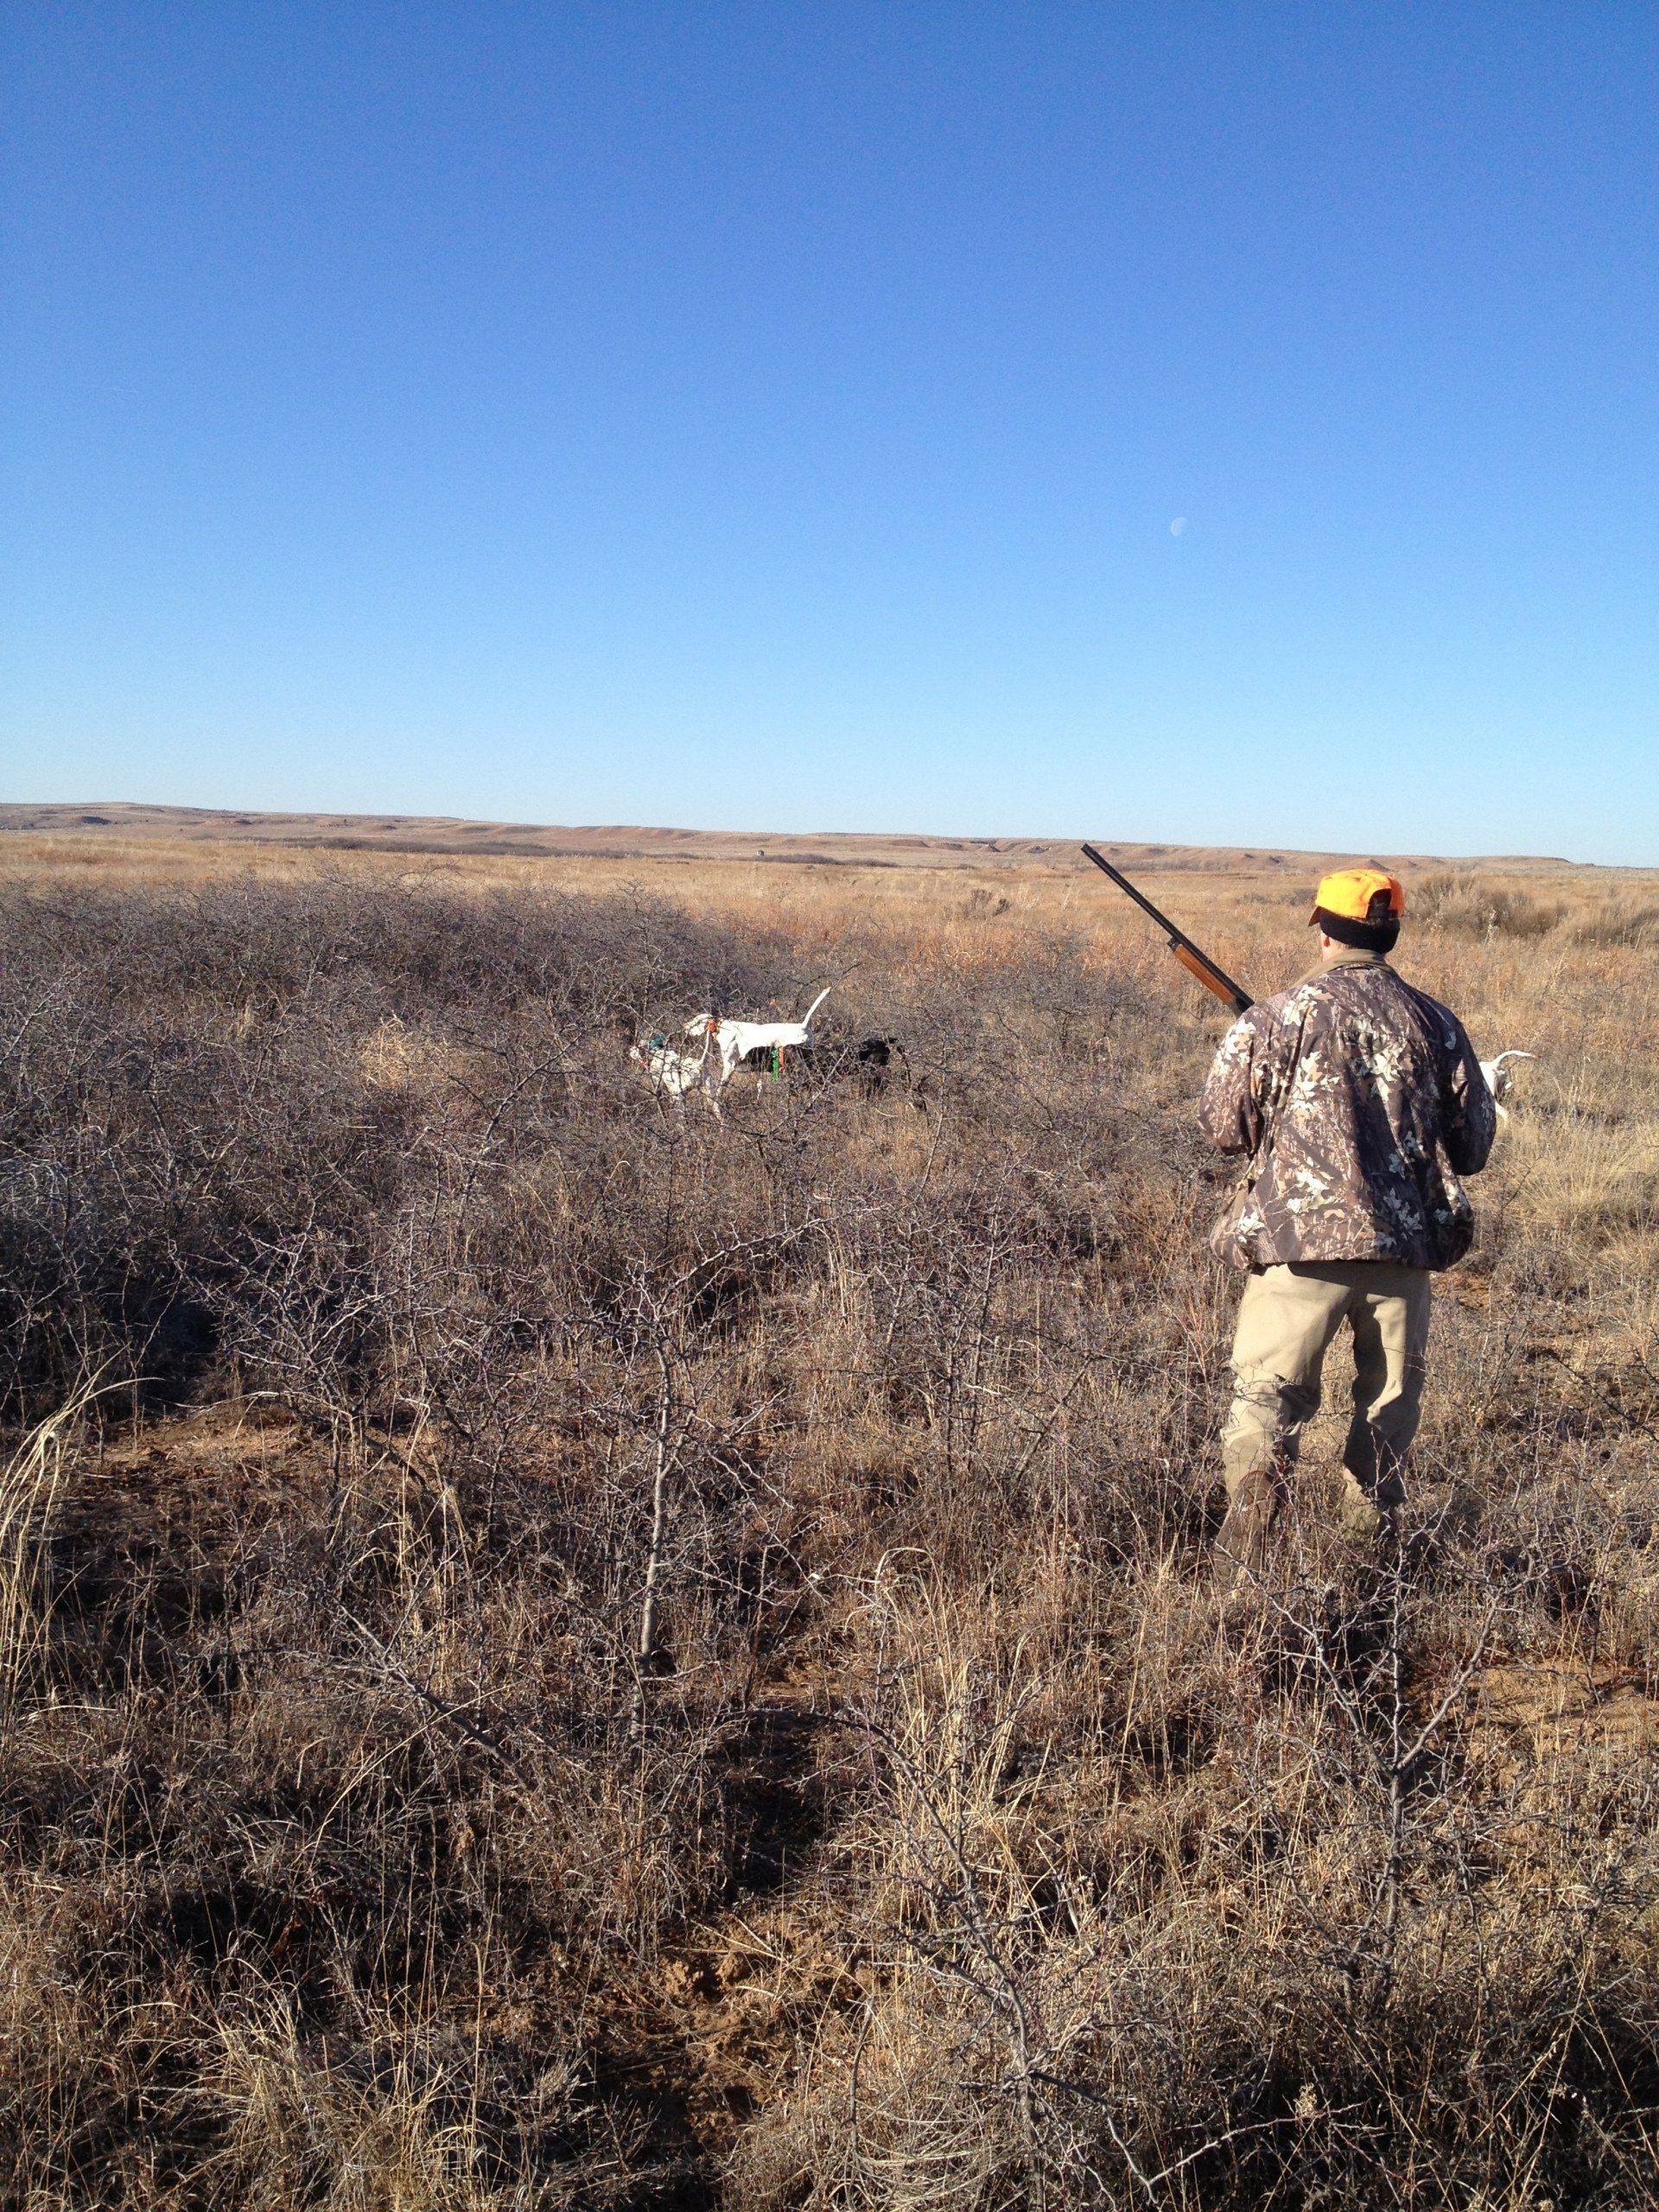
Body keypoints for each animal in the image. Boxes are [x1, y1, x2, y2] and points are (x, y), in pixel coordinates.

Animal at [681, 990, 831, 1092]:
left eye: (696, 1021)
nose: (684, 1026)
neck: (723, 1028)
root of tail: (803, 1026)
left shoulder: (730, 1066)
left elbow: (720, 1089)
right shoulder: (759, 1068)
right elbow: (760, 1085)